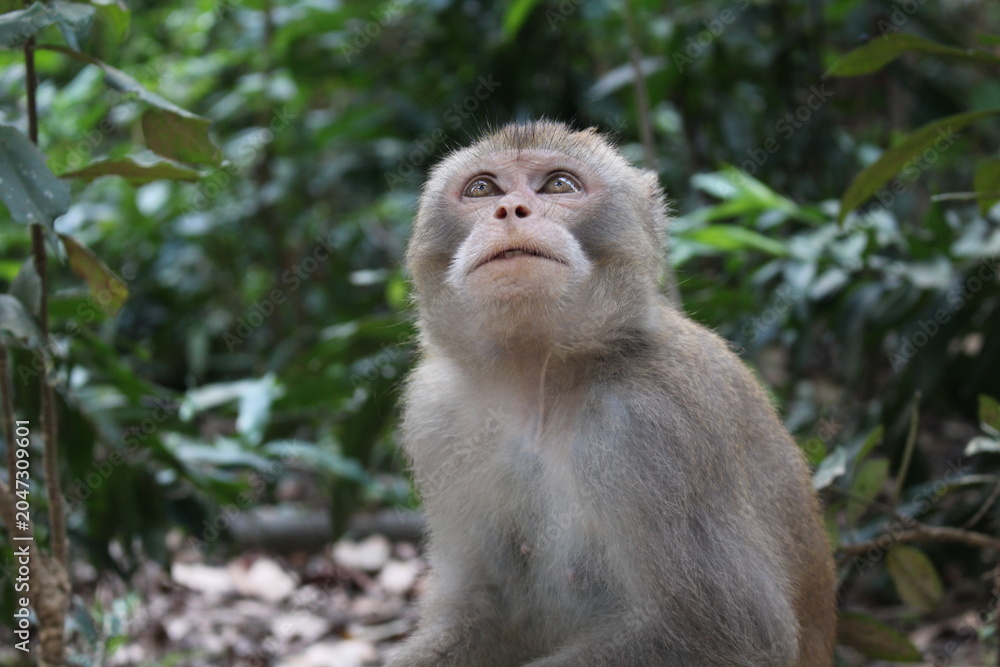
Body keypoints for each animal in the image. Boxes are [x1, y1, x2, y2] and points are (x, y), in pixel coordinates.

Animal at [386, 121, 836, 666]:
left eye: (559, 185)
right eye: (482, 189)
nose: (510, 211)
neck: (539, 383)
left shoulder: (659, 420)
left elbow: (734, 632)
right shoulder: (437, 415)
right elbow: (481, 604)